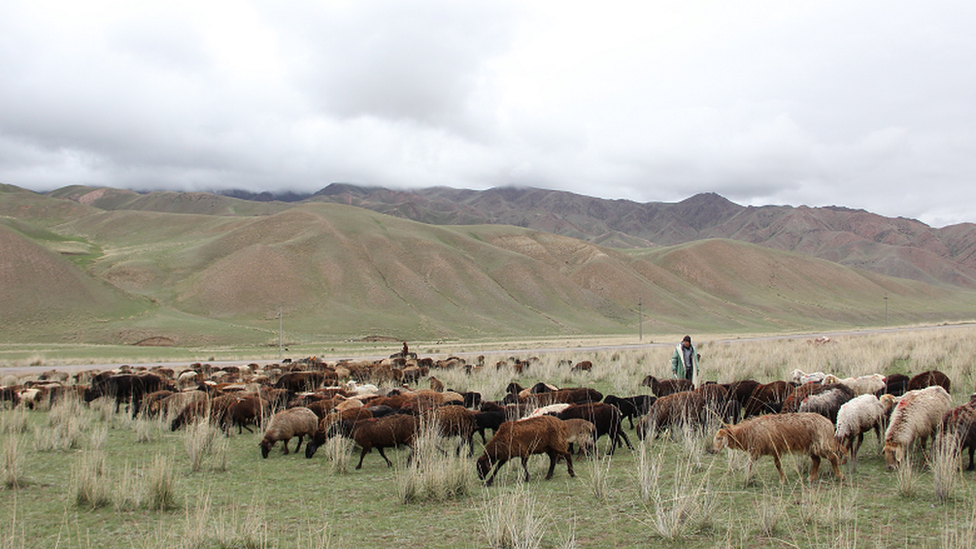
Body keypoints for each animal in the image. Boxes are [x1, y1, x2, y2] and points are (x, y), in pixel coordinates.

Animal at [708, 412, 848, 484]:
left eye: (719, 438)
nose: (713, 451)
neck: (748, 432)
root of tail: (828, 423)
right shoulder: (766, 450)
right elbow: (755, 464)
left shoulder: (772, 448)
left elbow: (773, 464)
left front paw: (781, 480)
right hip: (811, 446)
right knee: (817, 460)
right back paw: (812, 477)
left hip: (821, 444)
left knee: (833, 457)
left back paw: (839, 475)